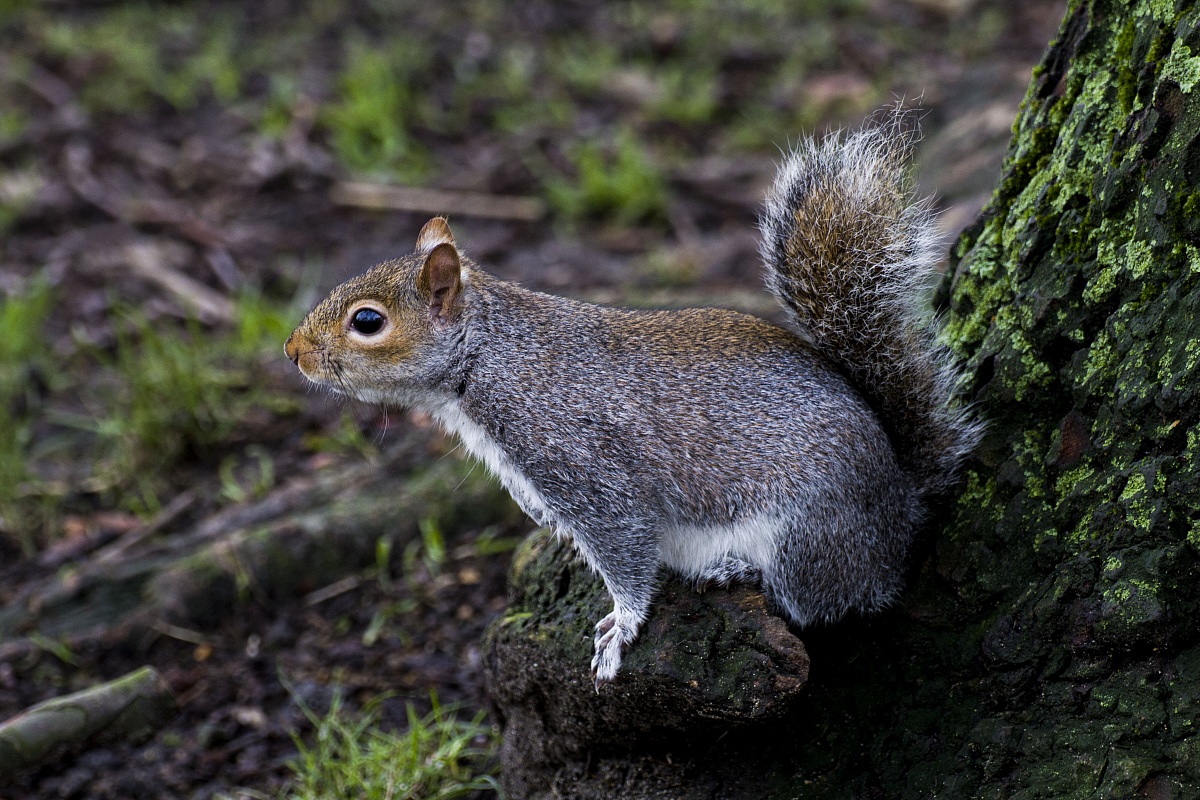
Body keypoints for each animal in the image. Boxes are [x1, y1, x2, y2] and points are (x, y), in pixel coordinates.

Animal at [285, 111, 982, 687]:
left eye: (367, 321)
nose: (293, 351)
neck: (490, 359)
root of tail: (901, 506)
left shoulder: (584, 462)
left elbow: (623, 551)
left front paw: (621, 626)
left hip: (808, 535)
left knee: (824, 602)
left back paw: (742, 572)